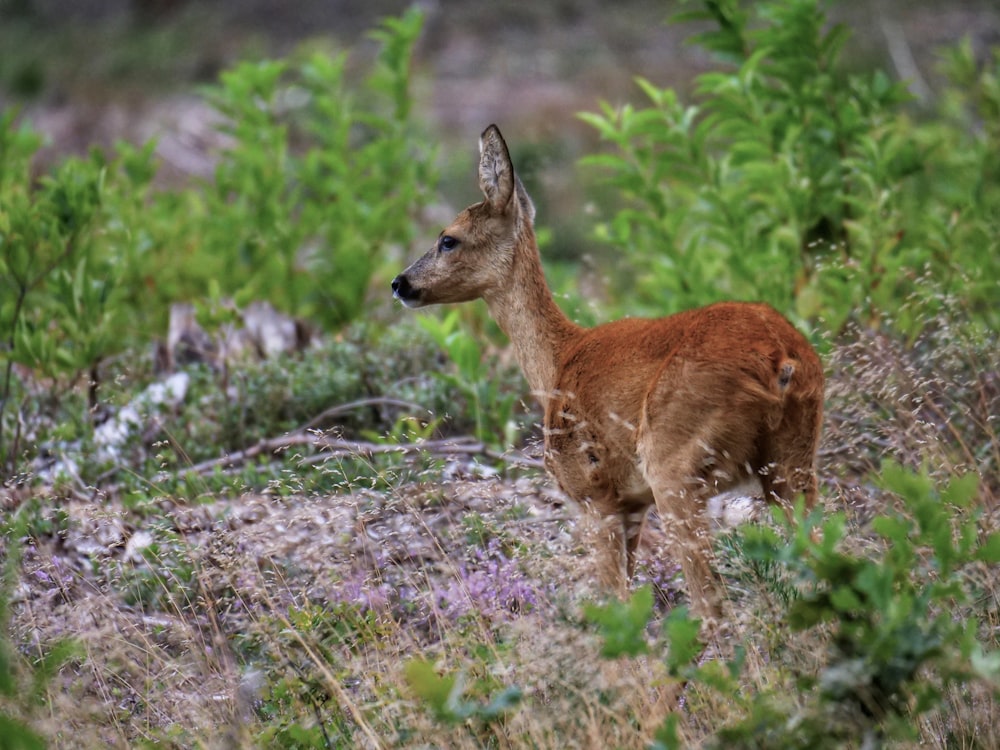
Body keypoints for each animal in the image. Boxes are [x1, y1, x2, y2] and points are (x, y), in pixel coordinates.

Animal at [390, 125, 820, 628]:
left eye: (448, 239)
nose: (400, 283)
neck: (556, 362)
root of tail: (781, 360)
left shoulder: (593, 495)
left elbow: (616, 605)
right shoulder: (631, 503)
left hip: (675, 464)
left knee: (711, 601)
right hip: (792, 461)